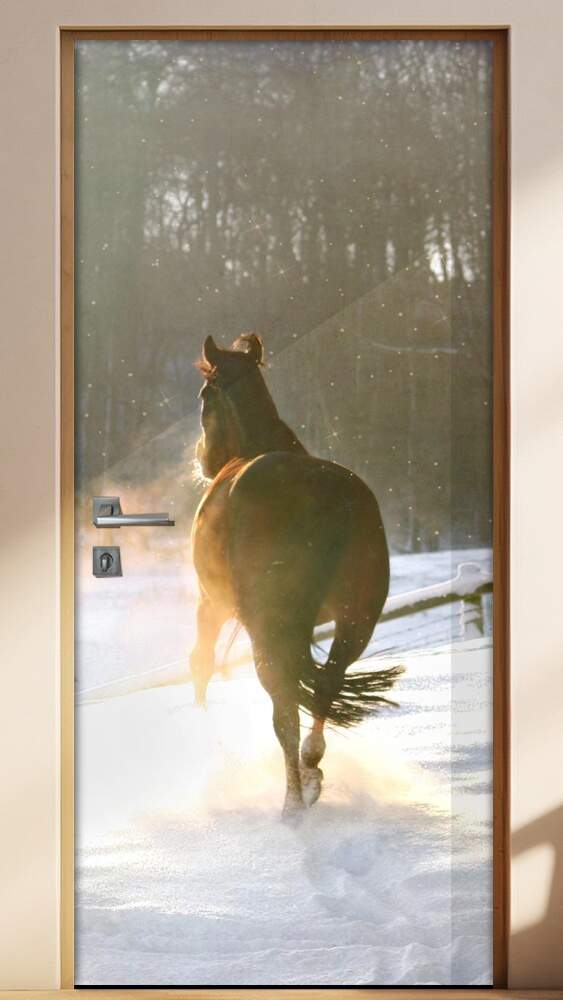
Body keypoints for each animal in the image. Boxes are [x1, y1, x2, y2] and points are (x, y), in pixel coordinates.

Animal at [190, 332, 402, 821]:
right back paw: (311, 769)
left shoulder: (211, 604)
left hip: (267, 628)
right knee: (326, 684)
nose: (203, 460)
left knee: (285, 708)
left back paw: (292, 804)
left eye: (205, 395)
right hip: (355, 621)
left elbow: (201, 664)